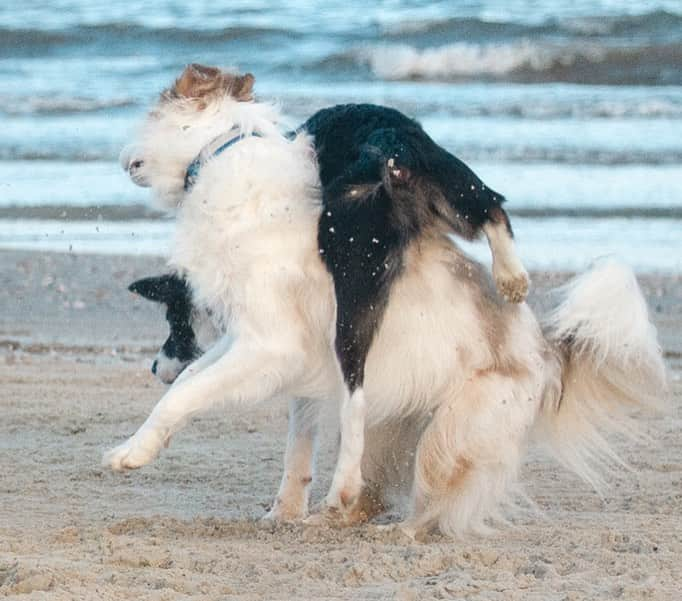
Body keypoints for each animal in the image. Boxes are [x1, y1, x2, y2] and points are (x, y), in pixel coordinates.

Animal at [106, 65, 664, 536]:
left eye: (174, 317)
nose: (153, 367)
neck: (224, 149)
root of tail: (544, 349)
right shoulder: (258, 342)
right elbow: (207, 393)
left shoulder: (271, 344)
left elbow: (183, 395)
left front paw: (132, 453)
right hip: (394, 417)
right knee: (372, 484)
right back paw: (333, 510)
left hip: (436, 414)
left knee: (428, 502)